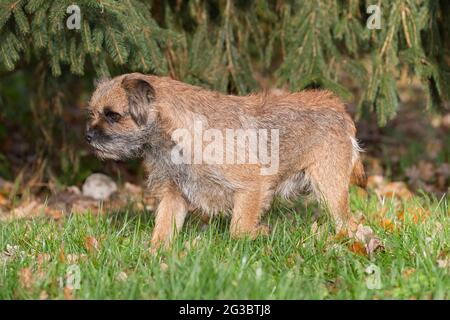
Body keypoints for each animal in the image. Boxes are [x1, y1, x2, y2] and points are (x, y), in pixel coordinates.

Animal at [85, 73, 366, 250]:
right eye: (94, 113)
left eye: (113, 116)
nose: (88, 135)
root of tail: (338, 107)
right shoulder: (174, 195)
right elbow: (163, 228)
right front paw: (155, 254)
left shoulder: (253, 184)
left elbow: (238, 229)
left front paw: (257, 234)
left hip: (330, 189)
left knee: (350, 223)